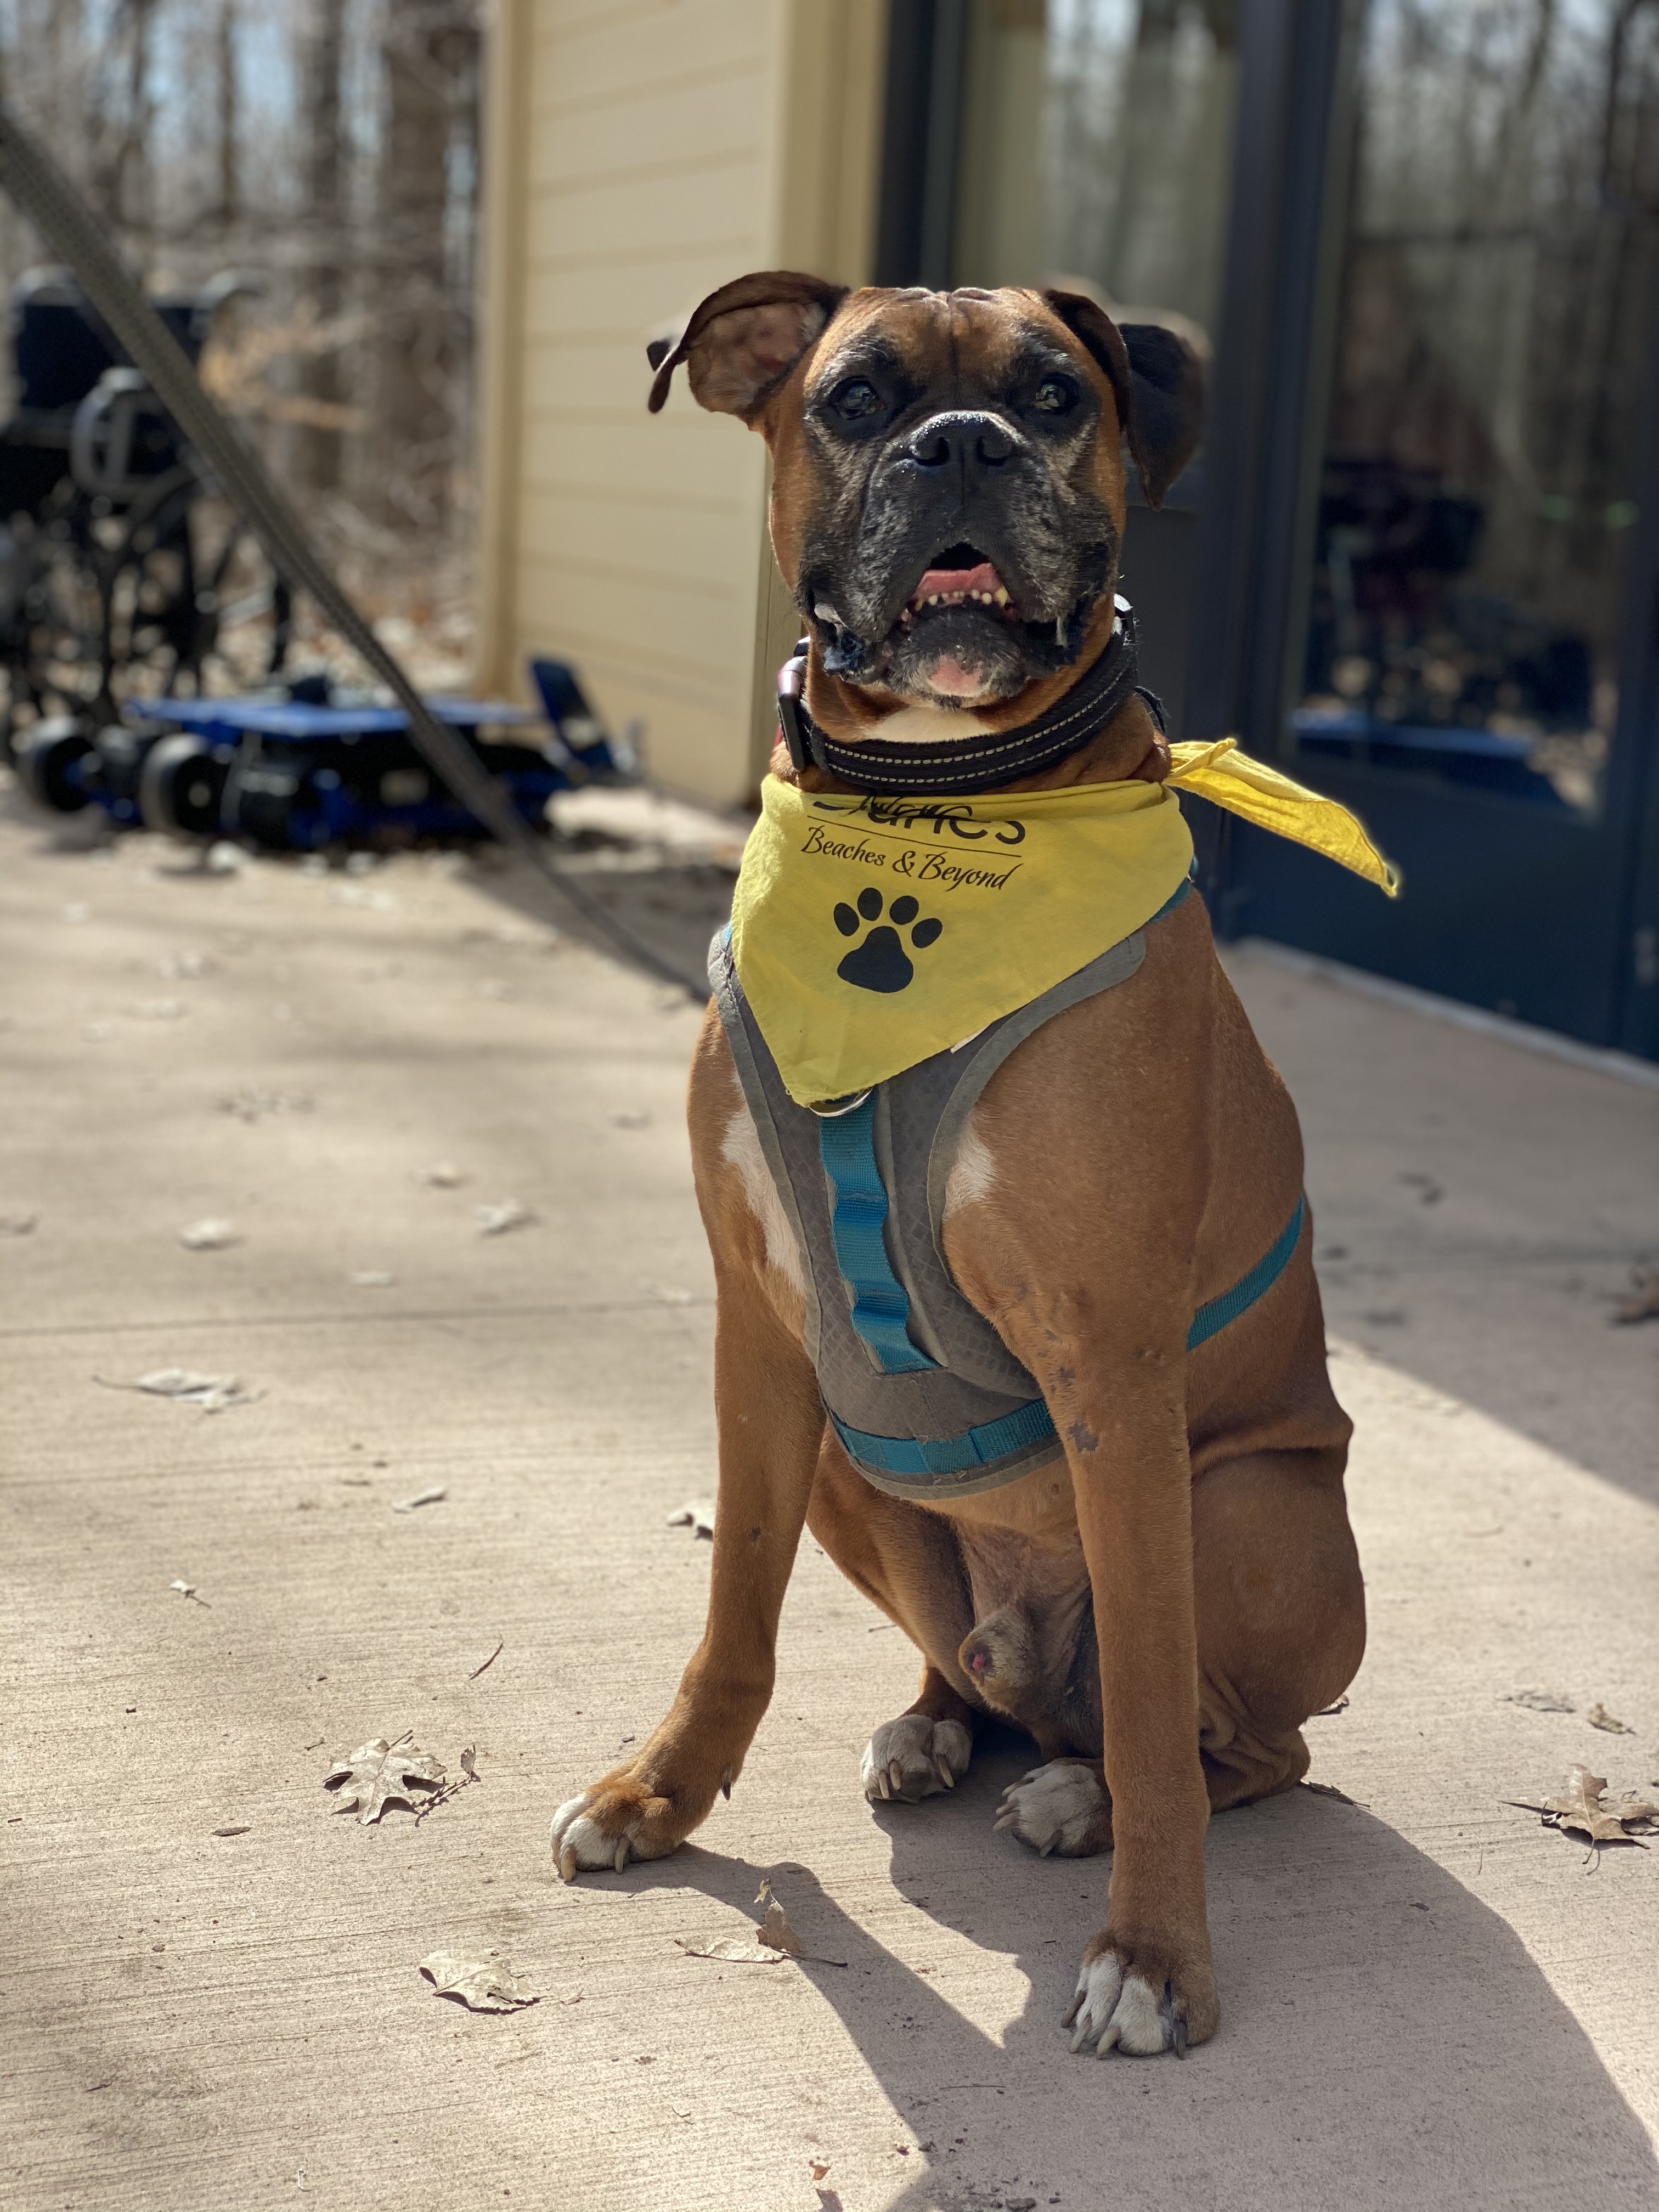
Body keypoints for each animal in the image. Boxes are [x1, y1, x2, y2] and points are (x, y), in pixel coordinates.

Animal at [553, 276, 1371, 2052]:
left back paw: (1084, 1797)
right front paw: (663, 1795)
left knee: (1230, 1741)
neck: (932, 805)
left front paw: (1156, 1957)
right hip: (860, 1467)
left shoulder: (1115, 1365)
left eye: (1056, 395)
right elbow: (734, 1616)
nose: (965, 444)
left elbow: (1157, 1699)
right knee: (996, 1680)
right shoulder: (757, 1339)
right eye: (856, 397)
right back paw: (941, 1726)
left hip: (1245, 1507)